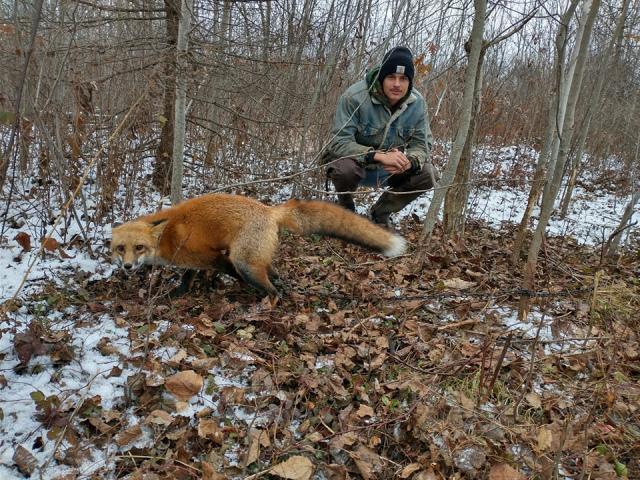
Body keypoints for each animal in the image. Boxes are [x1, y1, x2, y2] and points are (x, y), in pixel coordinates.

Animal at [110, 193, 407, 296]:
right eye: (120, 249)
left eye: (139, 248)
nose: (127, 267)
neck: (167, 235)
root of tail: (269, 210)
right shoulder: (196, 259)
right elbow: (187, 278)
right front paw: (179, 293)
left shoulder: (212, 257)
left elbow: (209, 274)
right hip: (255, 257)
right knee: (274, 274)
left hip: (245, 262)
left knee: (271, 288)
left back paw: (266, 302)